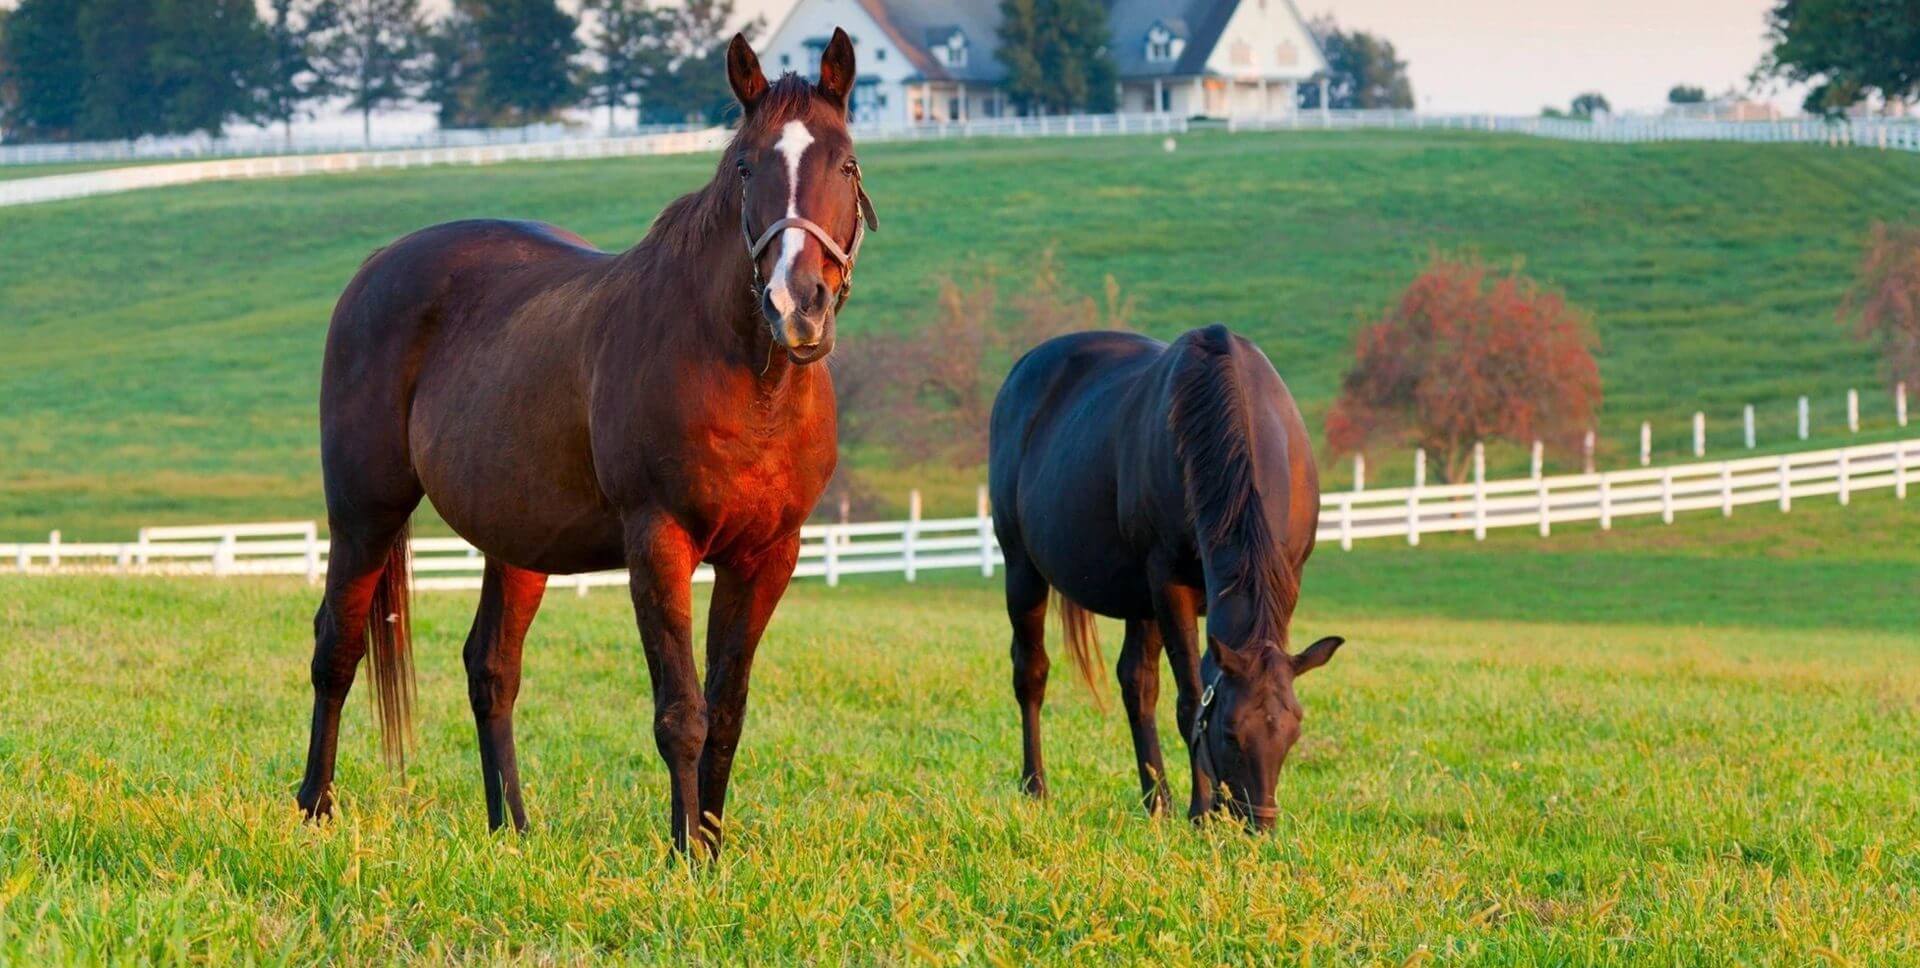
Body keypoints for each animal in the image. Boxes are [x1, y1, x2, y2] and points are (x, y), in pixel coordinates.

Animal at [294, 30, 877, 855]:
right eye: (745, 165)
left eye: (846, 164)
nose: (797, 306)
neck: (745, 377)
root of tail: (377, 266)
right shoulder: (659, 542)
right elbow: (682, 713)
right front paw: (684, 857)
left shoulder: (768, 556)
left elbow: (726, 712)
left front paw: (711, 848)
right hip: (363, 514)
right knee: (336, 649)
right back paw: (315, 807)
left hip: (516, 541)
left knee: (491, 669)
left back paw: (511, 828)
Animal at [987, 324, 1345, 829]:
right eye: (1230, 733)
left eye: (1293, 731)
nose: (1258, 824)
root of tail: (1021, 372)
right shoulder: (1169, 585)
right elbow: (1191, 699)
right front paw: (1201, 811)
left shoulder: (1284, 581)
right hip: (1023, 569)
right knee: (1031, 673)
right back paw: (1036, 787)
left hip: (1138, 599)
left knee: (1136, 684)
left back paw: (1157, 801)